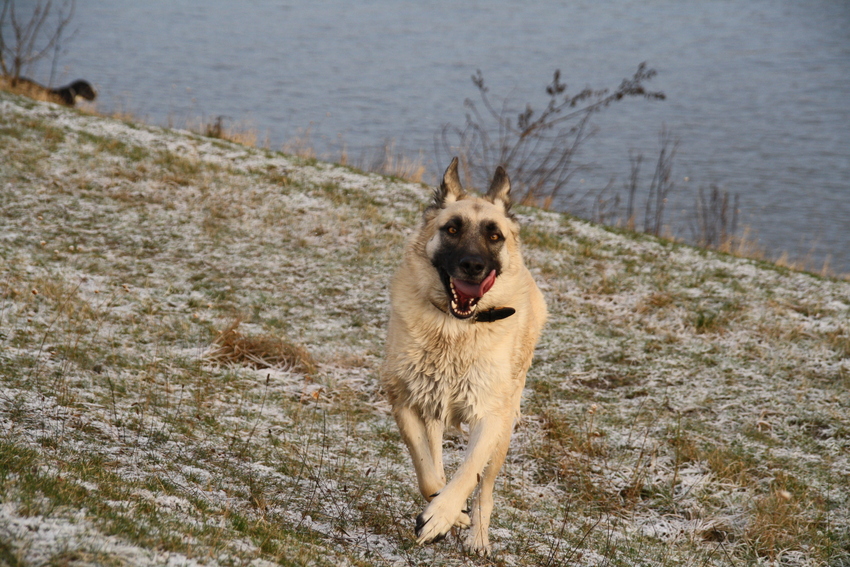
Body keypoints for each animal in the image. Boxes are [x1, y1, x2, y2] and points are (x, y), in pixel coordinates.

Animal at [382, 158, 548, 556]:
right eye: (453, 229)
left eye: (494, 236)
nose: (473, 265)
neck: (454, 330)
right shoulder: (407, 401)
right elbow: (428, 475)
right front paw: (445, 514)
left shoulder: (489, 416)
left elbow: (468, 473)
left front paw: (443, 516)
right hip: (434, 410)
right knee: (437, 462)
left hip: (504, 428)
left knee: (485, 490)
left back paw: (477, 538)